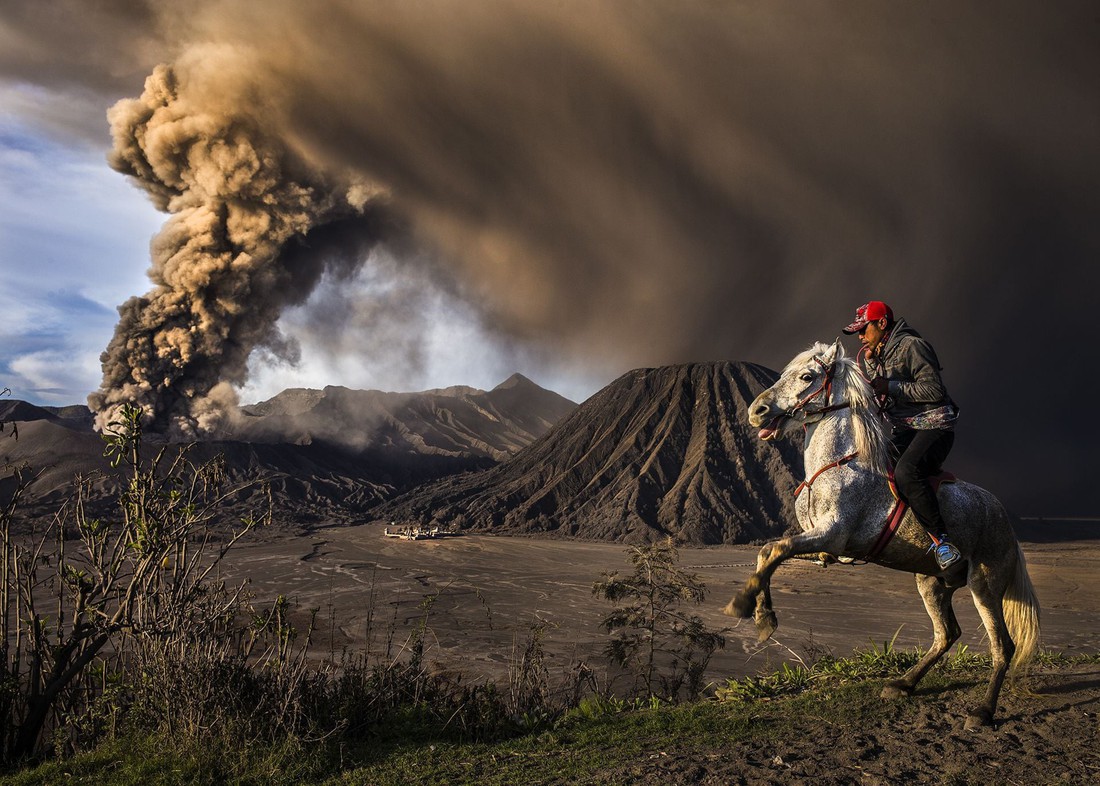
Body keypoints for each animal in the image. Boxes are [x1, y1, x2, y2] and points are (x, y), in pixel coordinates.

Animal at [721, 340, 1038, 729]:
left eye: (807, 376)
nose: (757, 411)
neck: (841, 464)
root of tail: (1004, 518)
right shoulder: (824, 548)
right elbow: (769, 552)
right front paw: (762, 615)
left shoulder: (831, 535)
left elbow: (776, 550)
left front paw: (746, 607)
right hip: (931, 583)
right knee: (947, 634)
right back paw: (903, 684)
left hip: (985, 584)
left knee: (1002, 646)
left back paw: (983, 712)